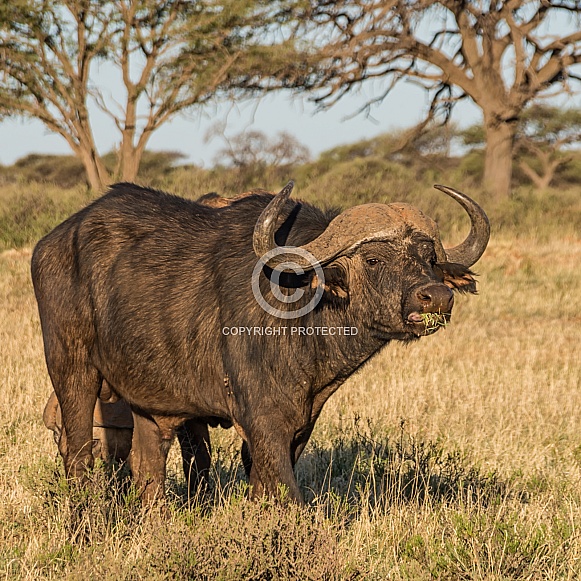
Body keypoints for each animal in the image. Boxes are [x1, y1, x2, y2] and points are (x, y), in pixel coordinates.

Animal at [30, 181, 484, 502]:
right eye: (373, 259)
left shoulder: (301, 423)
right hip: (72, 370)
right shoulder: (262, 420)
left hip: (149, 399)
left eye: (429, 258)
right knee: (78, 456)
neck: (302, 311)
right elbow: (286, 494)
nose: (436, 297)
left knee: (148, 468)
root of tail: (54, 241)